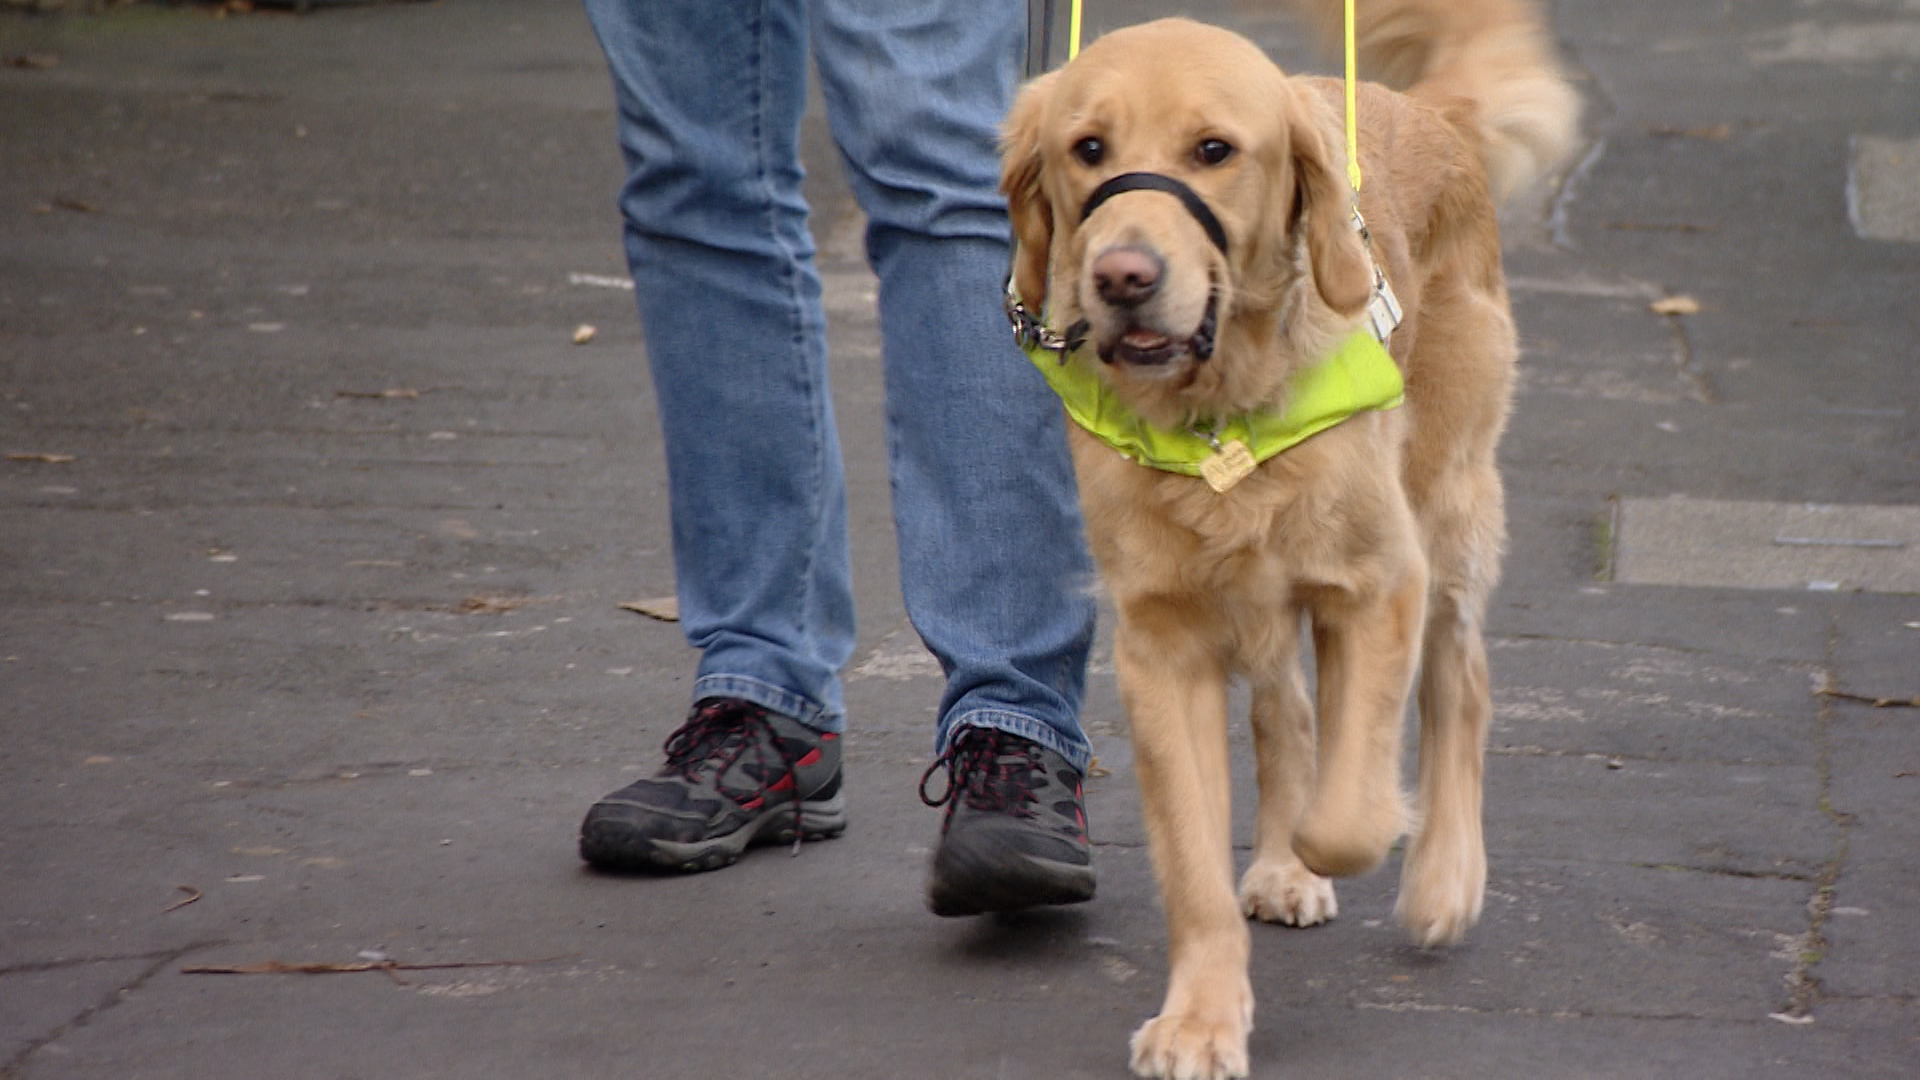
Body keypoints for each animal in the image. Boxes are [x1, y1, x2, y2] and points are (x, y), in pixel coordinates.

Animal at [998, 4, 1582, 1068]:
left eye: (1214, 150)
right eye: (1087, 149)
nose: (1123, 275)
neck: (1219, 413)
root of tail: (1425, 111)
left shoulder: (1378, 582)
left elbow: (1347, 812)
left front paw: (1348, 839)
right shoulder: (1162, 644)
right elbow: (1193, 861)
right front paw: (1201, 1017)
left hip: (1448, 506)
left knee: (1460, 679)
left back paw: (1441, 876)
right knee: (1289, 713)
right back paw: (1280, 865)